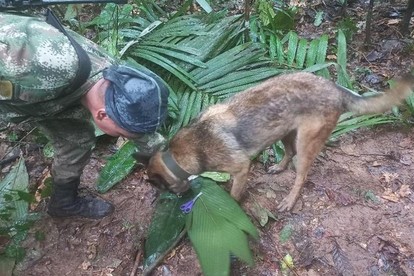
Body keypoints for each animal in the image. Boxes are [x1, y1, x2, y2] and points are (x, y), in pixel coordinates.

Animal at [145, 71, 410, 211]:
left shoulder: (241, 169)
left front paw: (231, 206)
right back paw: (278, 167)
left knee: (301, 175)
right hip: (285, 132)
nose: (180, 199)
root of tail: (335, 88)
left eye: (162, 188)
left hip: (305, 143)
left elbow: (234, 194)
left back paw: (289, 201)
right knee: (289, 152)